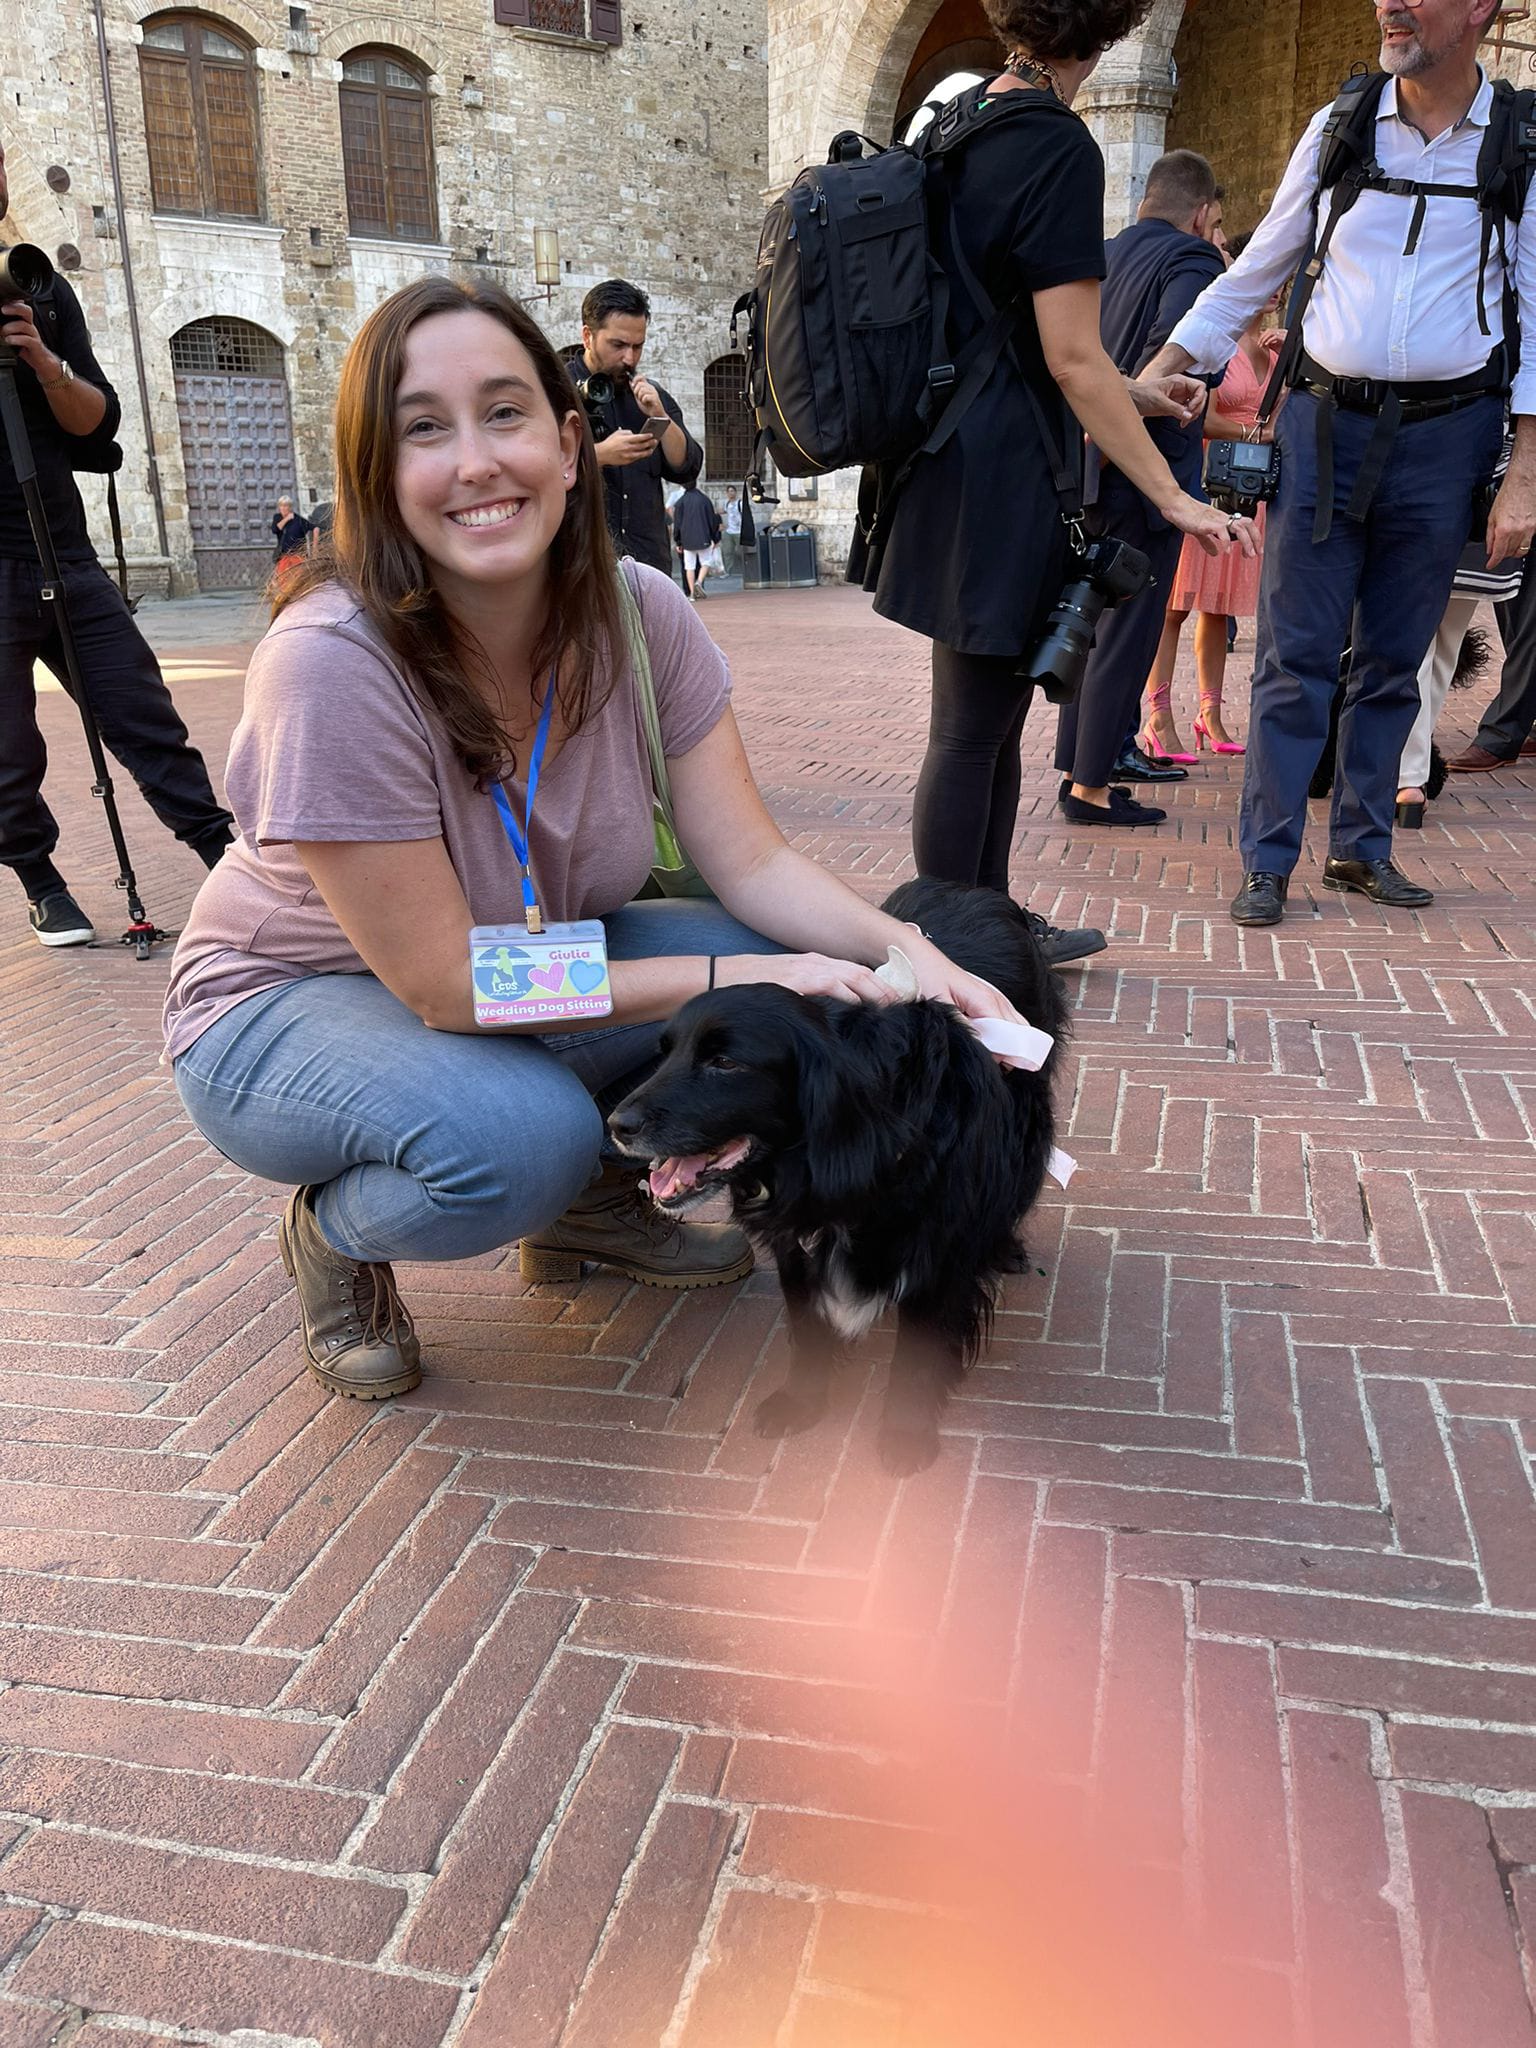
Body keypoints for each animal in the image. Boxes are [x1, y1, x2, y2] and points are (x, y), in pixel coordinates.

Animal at [610, 876, 1073, 1474]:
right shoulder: (794, 1240)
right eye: (664, 1053)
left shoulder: (939, 1245)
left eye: (726, 1063)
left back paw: (1004, 1246)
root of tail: (970, 888)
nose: (617, 1125)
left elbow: (919, 1347)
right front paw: (802, 1400)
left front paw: (905, 1431)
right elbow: (807, 1325)